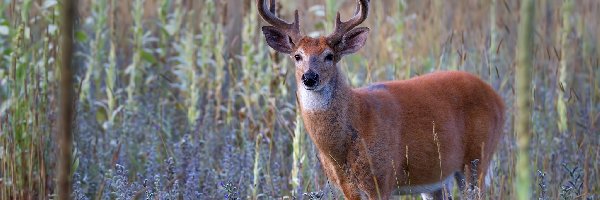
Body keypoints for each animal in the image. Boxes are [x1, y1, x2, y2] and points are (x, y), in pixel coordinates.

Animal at [258, 0, 506, 199]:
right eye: (297, 56)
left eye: (329, 56)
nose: (309, 77)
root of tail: (498, 99)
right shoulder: (347, 187)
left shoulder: (382, 178)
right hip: (437, 177)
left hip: (477, 159)